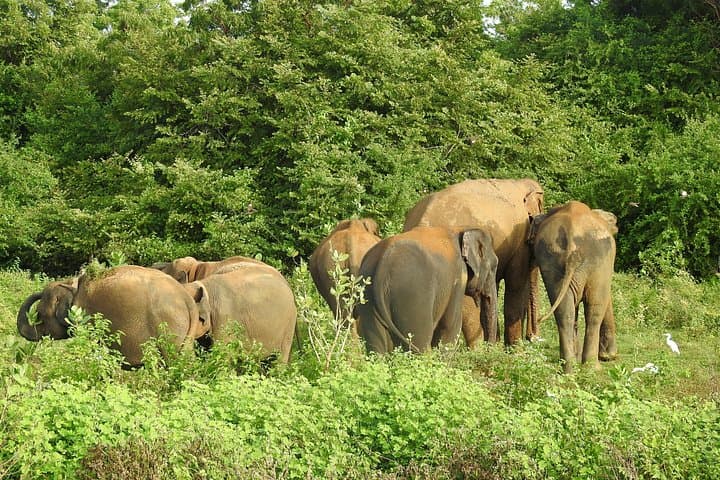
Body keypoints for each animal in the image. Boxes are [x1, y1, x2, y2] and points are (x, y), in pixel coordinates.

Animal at [356, 226, 498, 354]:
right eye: (494, 266)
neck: (461, 230)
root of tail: (383, 265)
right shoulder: (458, 277)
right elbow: (451, 325)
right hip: (413, 297)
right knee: (420, 341)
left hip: (369, 298)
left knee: (377, 347)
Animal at [529, 201, 618, 373]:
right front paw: (609, 357)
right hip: (597, 260)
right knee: (595, 309)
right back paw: (593, 368)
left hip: (552, 259)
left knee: (564, 313)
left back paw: (569, 368)